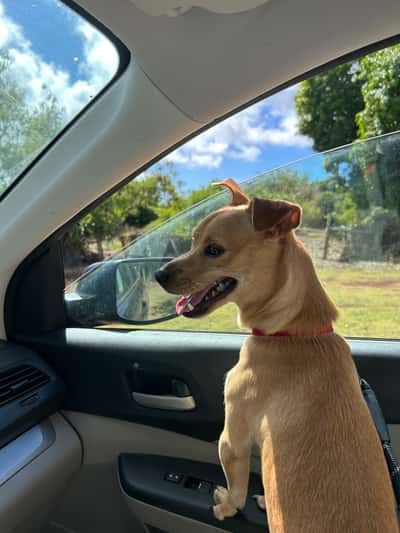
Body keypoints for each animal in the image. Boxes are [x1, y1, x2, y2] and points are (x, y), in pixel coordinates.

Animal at [155, 178, 398, 532]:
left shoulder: (232, 439)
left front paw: (228, 506)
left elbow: (237, 488)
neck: (296, 333)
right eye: (192, 240)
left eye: (214, 250)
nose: (158, 275)